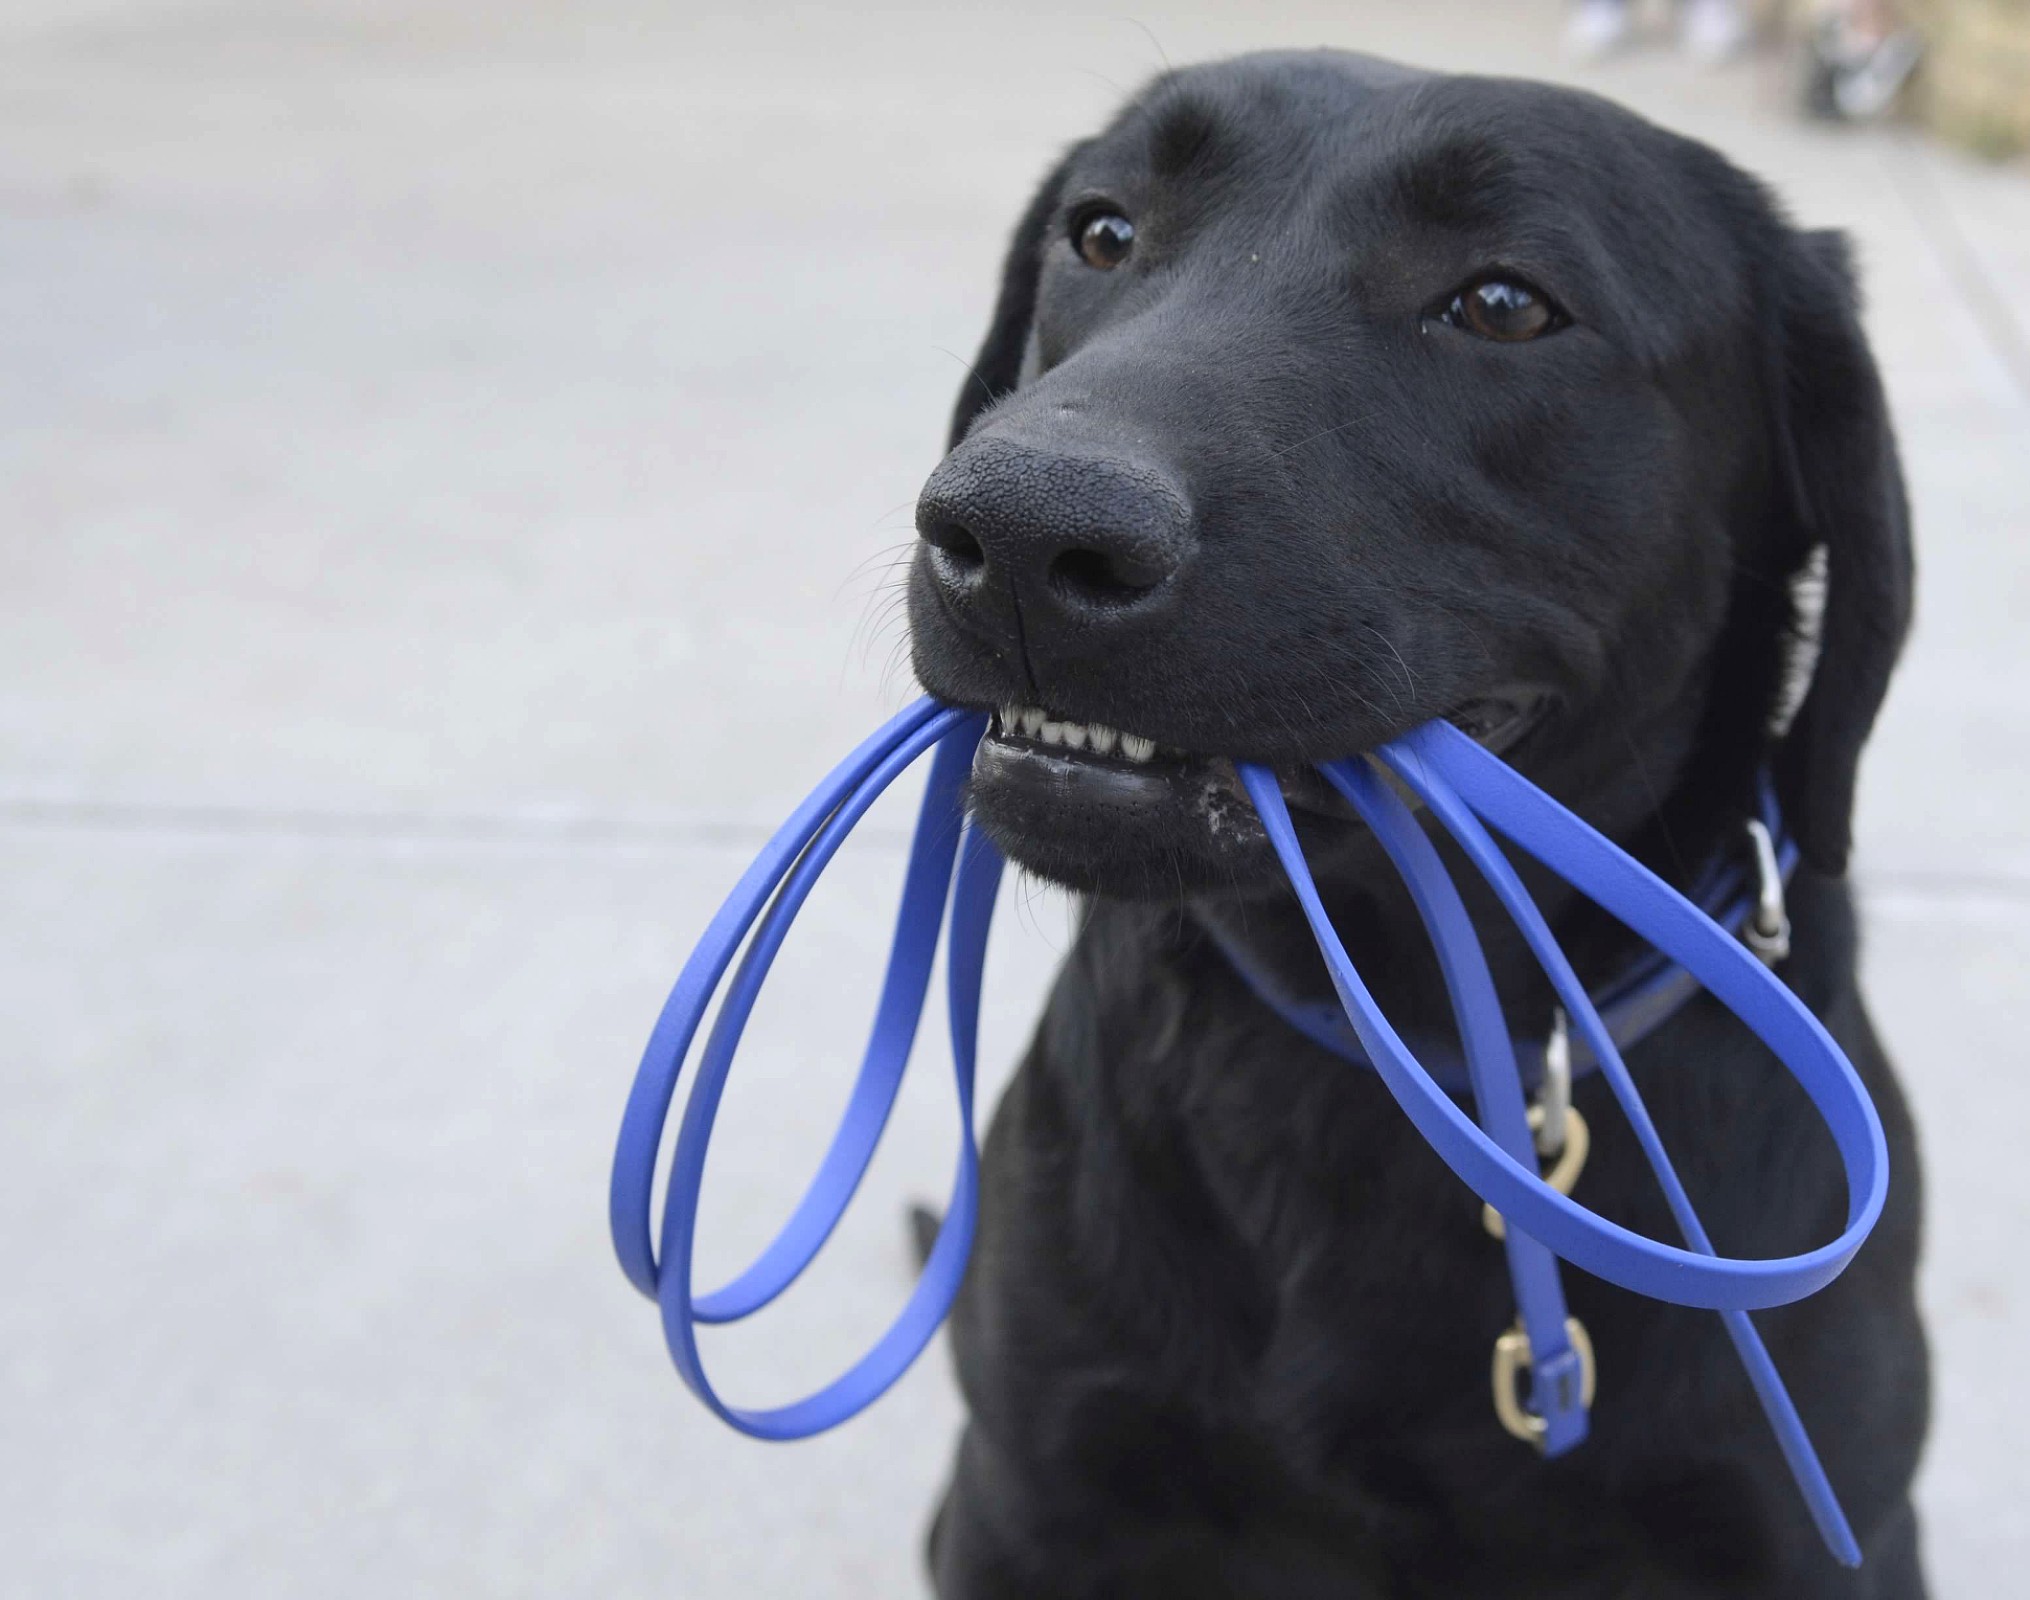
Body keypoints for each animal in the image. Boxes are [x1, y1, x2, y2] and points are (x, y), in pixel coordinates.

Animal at [913, 50, 1924, 1600]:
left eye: (1503, 305)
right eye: (1101, 233)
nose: (1021, 533)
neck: (1403, 1052)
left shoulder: (1829, 1538)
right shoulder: (1025, 1499)